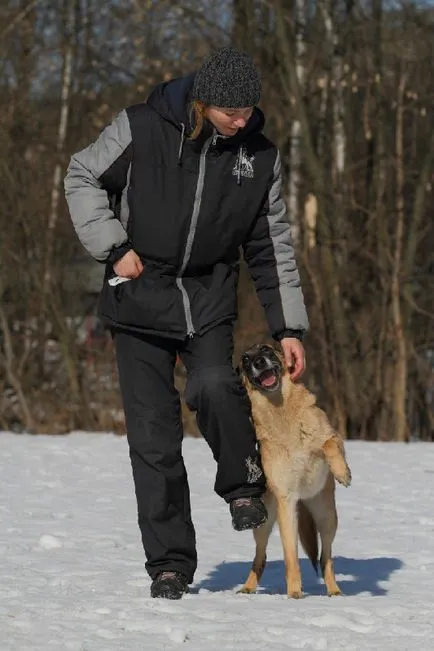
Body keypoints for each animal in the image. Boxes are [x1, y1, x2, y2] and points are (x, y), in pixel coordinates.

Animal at [239, 344, 350, 600]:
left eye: (266, 350)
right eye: (245, 359)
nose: (259, 362)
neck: (281, 411)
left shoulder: (331, 438)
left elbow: (329, 444)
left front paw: (342, 472)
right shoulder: (286, 501)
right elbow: (291, 556)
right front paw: (294, 593)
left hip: (327, 517)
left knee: (325, 557)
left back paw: (334, 590)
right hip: (264, 522)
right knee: (260, 557)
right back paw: (247, 587)